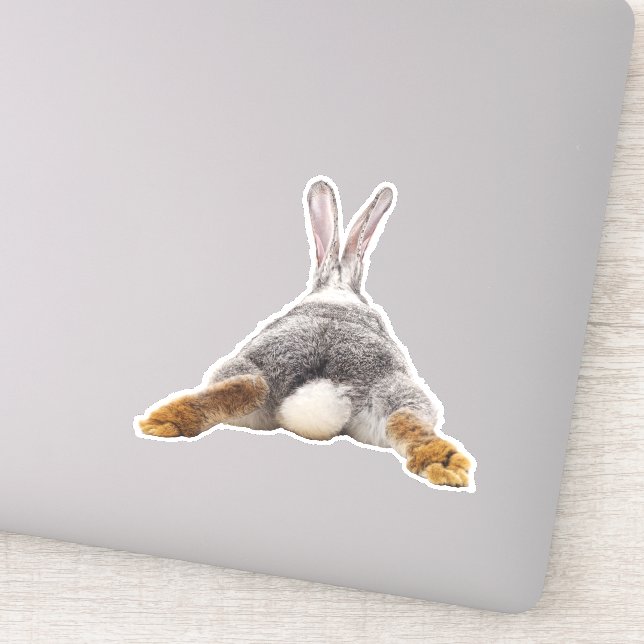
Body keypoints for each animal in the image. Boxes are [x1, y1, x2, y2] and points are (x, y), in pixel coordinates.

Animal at [135, 176, 475, 490]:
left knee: (247, 387)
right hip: (396, 390)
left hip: (251, 371)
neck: (337, 291)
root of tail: (321, 386)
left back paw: (163, 422)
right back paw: (448, 465)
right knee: (404, 418)